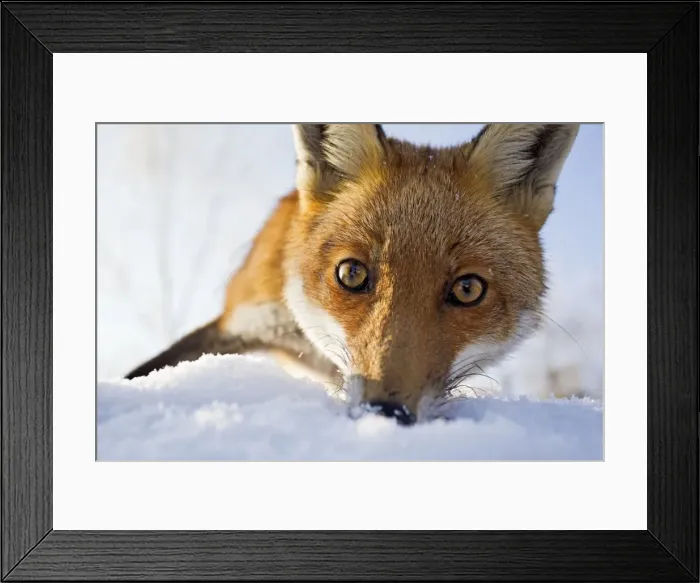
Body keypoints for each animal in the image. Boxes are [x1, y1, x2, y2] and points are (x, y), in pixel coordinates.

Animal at [126, 123, 580, 425]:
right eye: (351, 274)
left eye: (468, 289)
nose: (386, 411)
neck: (309, 342)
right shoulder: (244, 319)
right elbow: (143, 372)